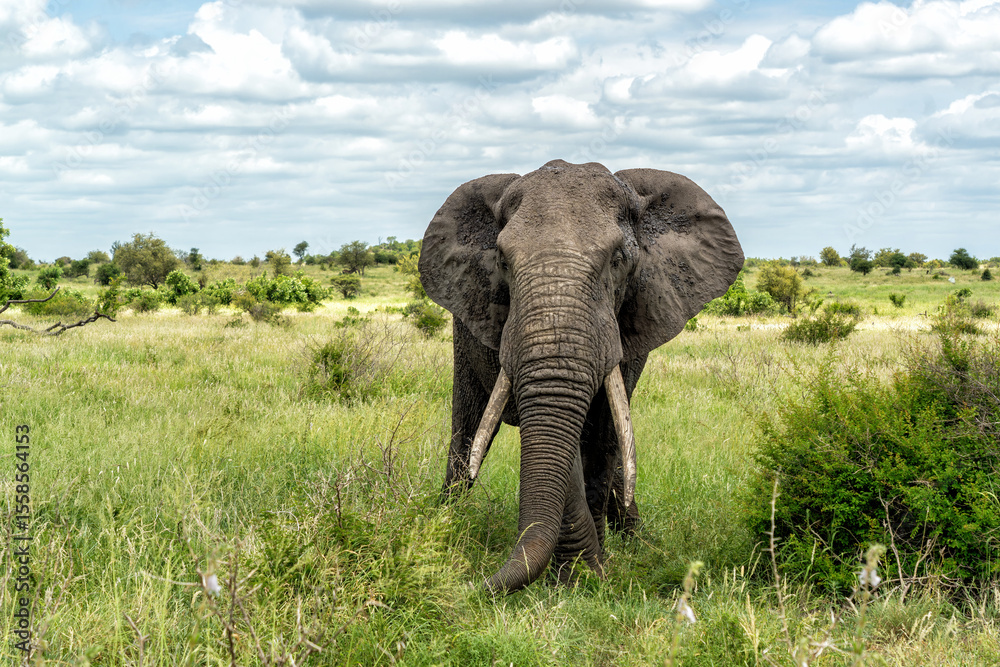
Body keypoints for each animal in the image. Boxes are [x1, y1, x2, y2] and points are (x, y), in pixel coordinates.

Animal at [418, 160, 744, 593]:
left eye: (618, 259)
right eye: (502, 260)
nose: (473, 586)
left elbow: (602, 433)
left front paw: (592, 576)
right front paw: (581, 576)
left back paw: (635, 538)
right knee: (467, 430)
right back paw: (448, 519)